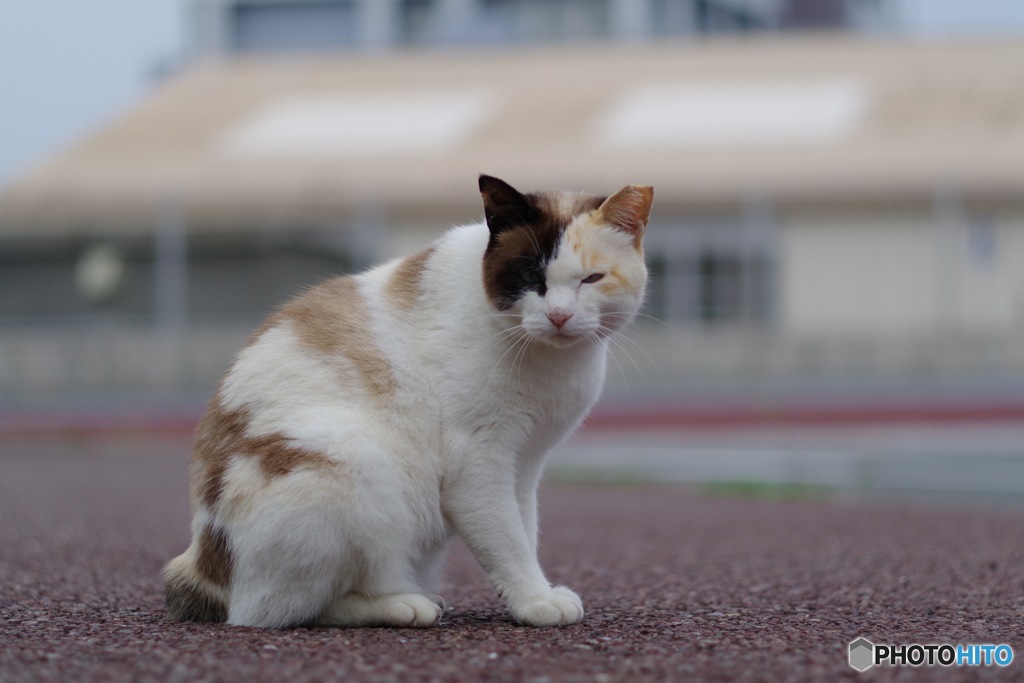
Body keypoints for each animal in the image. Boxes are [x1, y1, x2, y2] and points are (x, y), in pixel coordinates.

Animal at [163, 174, 651, 626]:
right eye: (531, 276)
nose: (559, 316)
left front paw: (536, 593)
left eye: (591, 279)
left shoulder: (525, 464)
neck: (552, 363)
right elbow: (508, 541)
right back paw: (403, 604)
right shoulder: (478, 463)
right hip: (353, 460)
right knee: (281, 609)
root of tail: (200, 565)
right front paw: (536, 602)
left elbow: (525, 531)